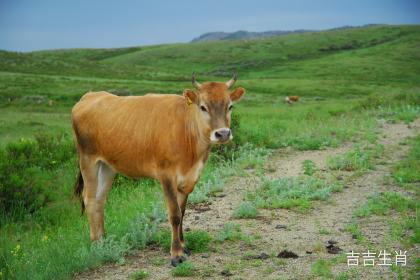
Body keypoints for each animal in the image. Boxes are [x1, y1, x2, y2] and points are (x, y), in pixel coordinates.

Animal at [70, 73, 244, 266]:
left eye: (230, 106)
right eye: (203, 107)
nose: (223, 134)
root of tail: (90, 95)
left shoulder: (188, 178)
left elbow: (182, 211)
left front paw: (183, 245)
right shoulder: (166, 175)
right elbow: (175, 214)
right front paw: (176, 254)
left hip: (107, 166)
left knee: (100, 200)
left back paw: (104, 243)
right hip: (88, 160)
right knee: (90, 200)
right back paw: (97, 246)